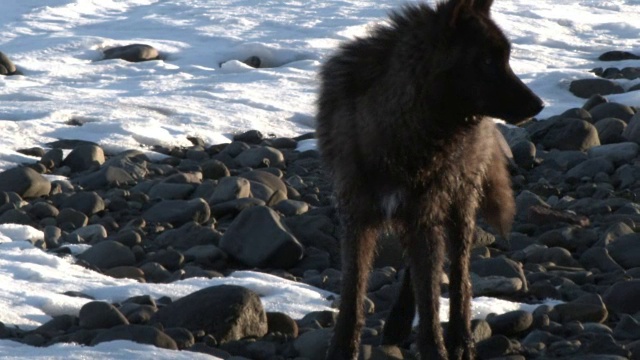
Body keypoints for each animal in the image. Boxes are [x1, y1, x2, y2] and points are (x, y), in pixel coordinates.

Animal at [316, 0, 544, 360]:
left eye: (506, 58)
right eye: (487, 61)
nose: (539, 105)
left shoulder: (424, 215)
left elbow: (432, 295)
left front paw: (436, 348)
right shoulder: (357, 218)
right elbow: (353, 293)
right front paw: (341, 349)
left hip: (458, 204)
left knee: (459, 274)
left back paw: (461, 338)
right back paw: (398, 323)